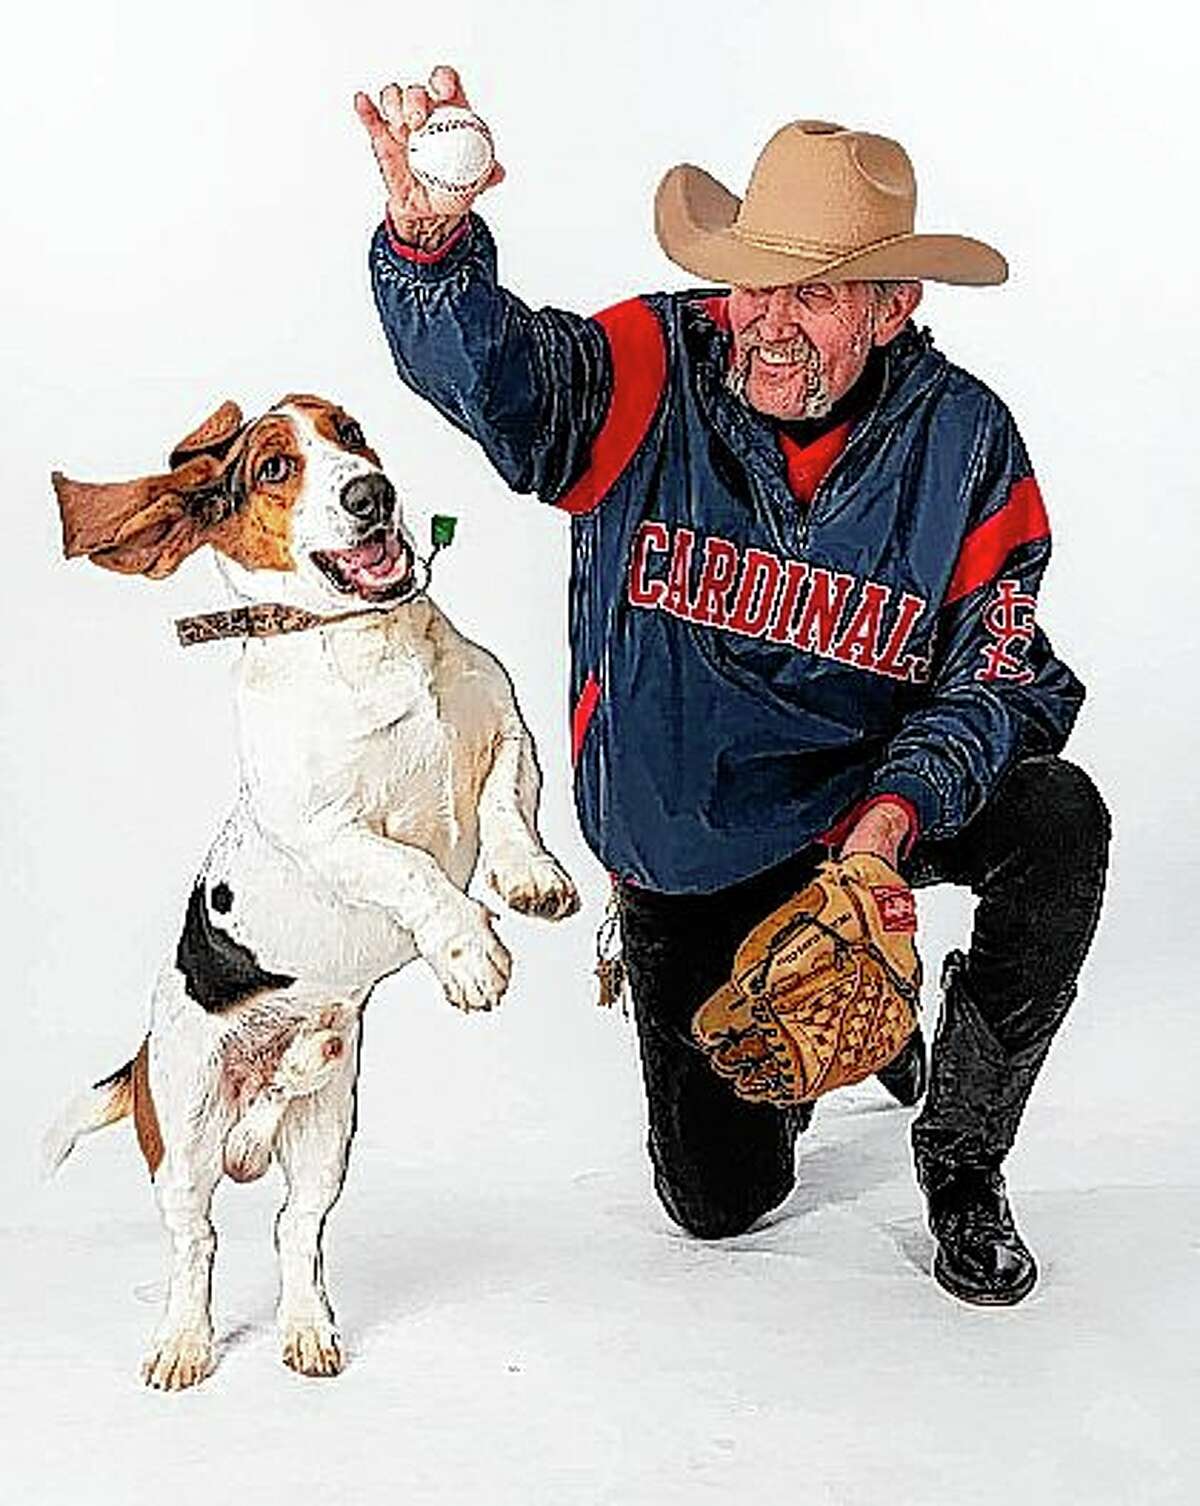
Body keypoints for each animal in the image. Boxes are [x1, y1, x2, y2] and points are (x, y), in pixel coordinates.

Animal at [49, 397, 584, 1385]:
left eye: (351, 431)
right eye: (271, 468)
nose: (371, 494)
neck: (366, 641)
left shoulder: (507, 730)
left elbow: (503, 808)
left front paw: (528, 874)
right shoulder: (325, 832)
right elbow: (411, 869)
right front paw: (470, 952)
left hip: (327, 1129)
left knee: (296, 1231)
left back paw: (306, 1329)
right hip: (184, 1132)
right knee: (197, 1242)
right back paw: (183, 1344)